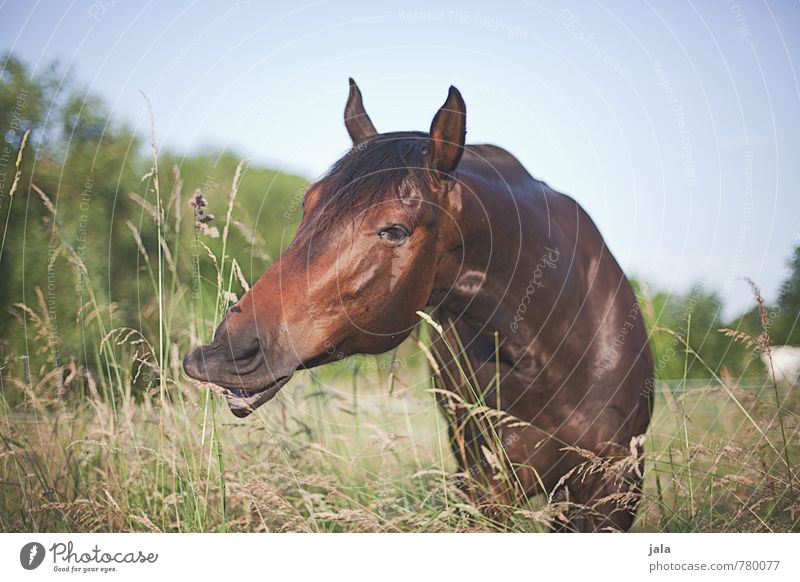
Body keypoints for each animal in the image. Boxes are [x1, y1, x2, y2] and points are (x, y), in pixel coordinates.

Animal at [184, 78, 652, 532]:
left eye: (394, 230)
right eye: (308, 205)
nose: (223, 351)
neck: (554, 349)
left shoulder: (612, 491)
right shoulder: (487, 484)